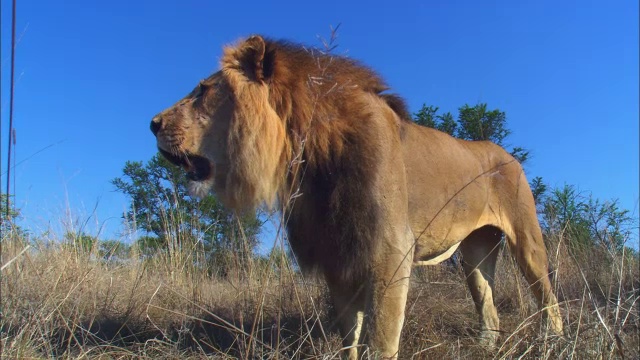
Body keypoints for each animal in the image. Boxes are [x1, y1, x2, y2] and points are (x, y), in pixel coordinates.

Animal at [150, 35, 560, 358]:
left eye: (203, 91)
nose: (152, 123)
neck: (311, 156)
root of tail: (506, 154)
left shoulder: (390, 250)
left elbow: (379, 339)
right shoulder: (337, 254)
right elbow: (350, 336)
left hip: (527, 242)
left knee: (547, 298)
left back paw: (553, 341)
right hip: (475, 254)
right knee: (488, 306)